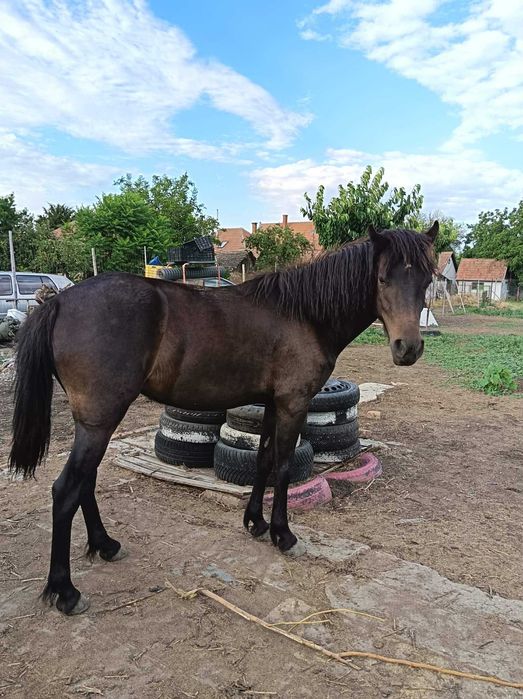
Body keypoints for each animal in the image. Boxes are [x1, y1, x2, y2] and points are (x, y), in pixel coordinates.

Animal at [9, 223, 438, 615]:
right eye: (382, 278)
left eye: (427, 278)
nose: (408, 348)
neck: (303, 314)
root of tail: (58, 303)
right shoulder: (293, 404)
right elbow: (284, 466)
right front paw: (283, 534)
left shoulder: (271, 404)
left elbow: (263, 461)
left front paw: (256, 523)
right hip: (100, 422)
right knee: (66, 490)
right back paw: (65, 591)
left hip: (95, 422)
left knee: (86, 483)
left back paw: (105, 545)